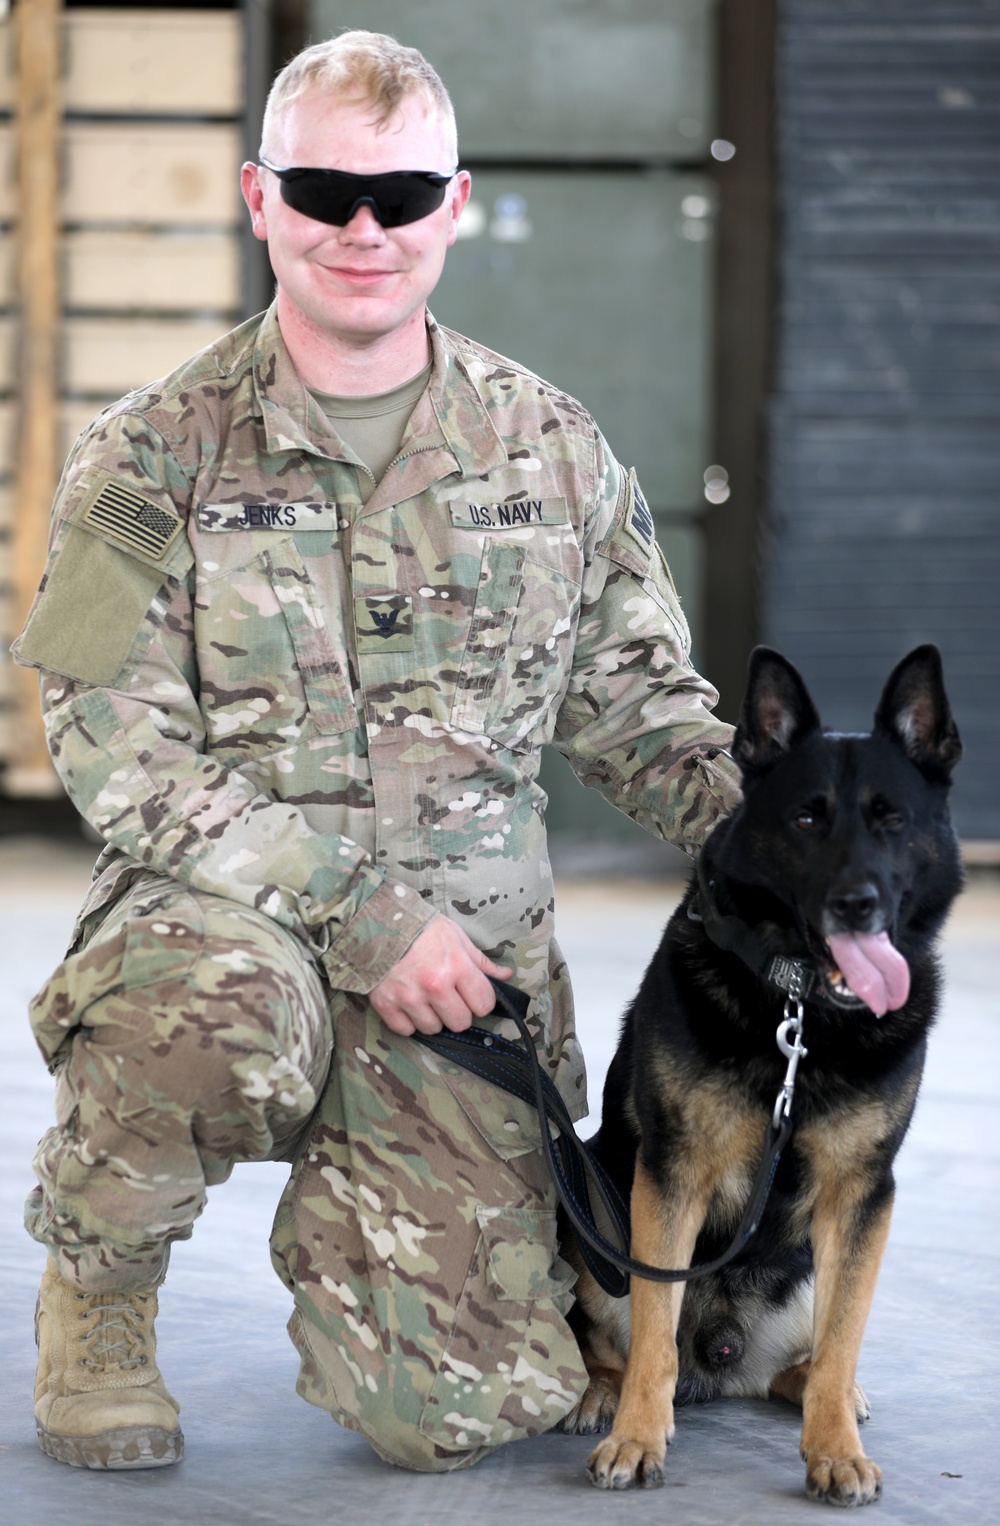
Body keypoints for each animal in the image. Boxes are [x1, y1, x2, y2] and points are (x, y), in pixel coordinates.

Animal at [561, 640, 964, 1501]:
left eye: (893, 819)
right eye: (807, 818)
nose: (857, 904)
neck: (803, 1014)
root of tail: (722, 1358)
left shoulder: (860, 1196)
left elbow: (844, 1338)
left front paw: (834, 1447)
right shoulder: (671, 1177)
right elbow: (653, 1332)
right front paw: (635, 1438)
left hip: (815, 1261)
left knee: (812, 1358)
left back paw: (823, 1392)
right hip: (593, 1209)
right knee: (614, 1338)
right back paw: (598, 1392)